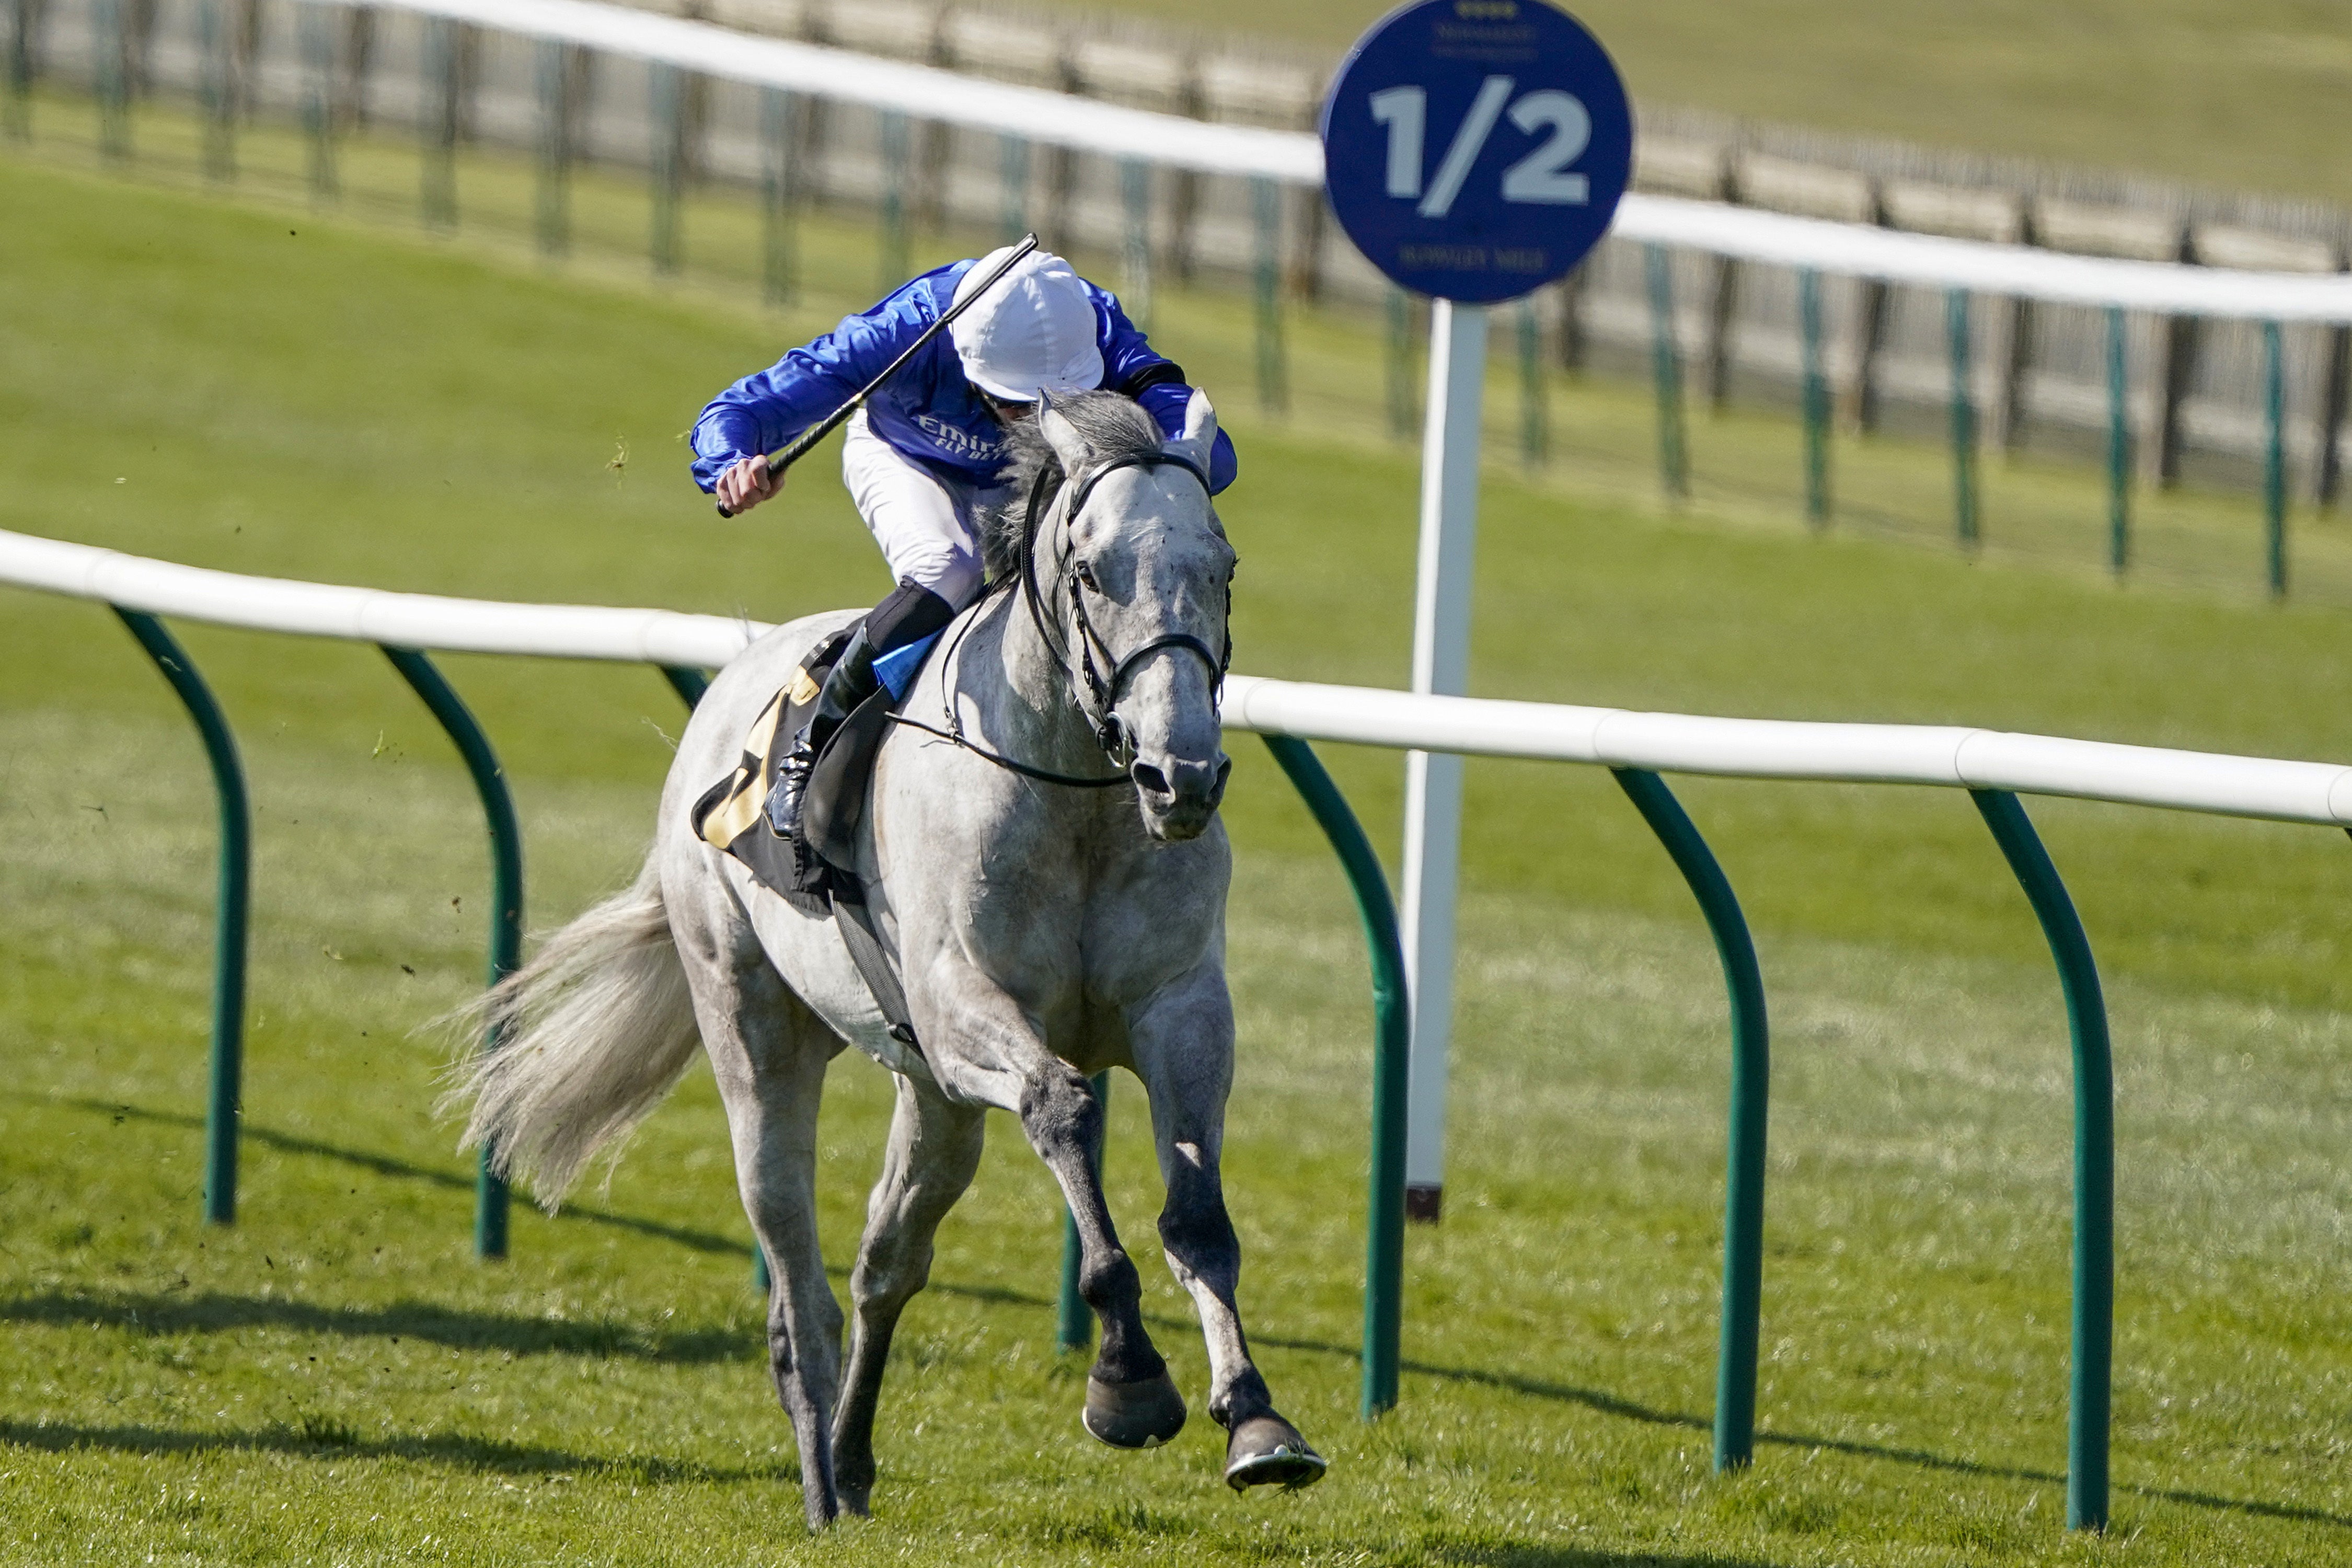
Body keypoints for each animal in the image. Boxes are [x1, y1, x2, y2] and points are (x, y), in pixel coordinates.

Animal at [444, 385, 1327, 1523]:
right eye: (1091, 571)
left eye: (1223, 566)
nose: (1182, 776)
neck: (1076, 795)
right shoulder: (961, 1014)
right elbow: (1066, 1108)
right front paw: (1126, 1378)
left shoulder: (1180, 1012)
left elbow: (1199, 1218)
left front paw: (1256, 1420)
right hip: (755, 1031)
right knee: (798, 1282)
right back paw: (821, 1474)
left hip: (936, 1102)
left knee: (884, 1263)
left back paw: (855, 1459)